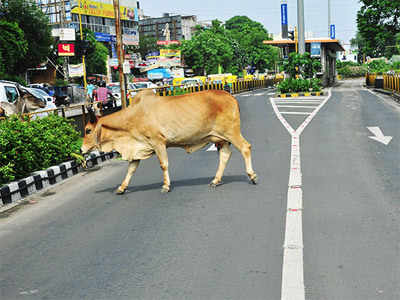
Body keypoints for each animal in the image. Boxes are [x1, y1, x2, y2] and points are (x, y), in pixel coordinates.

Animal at [80, 89, 260, 195]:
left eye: (88, 130)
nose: (82, 149)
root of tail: (230, 96)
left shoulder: (158, 142)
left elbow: (163, 164)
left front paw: (166, 186)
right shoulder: (138, 147)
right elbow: (131, 169)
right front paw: (121, 187)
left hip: (231, 132)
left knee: (245, 147)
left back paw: (252, 176)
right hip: (220, 139)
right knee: (225, 155)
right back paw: (215, 180)